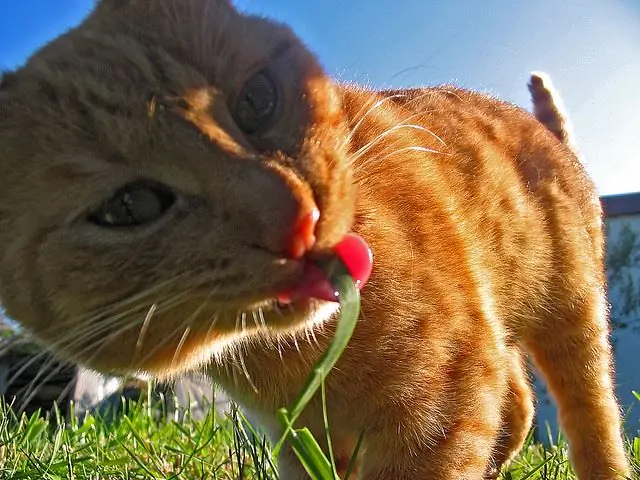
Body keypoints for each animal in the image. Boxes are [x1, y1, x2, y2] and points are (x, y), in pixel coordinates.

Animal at [0, 1, 632, 478]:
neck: (298, 359)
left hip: (573, 315)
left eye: (256, 100)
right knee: (518, 397)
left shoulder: (447, 403)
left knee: (591, 418)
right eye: (130, 206)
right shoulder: (300, 441)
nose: (298, 217)